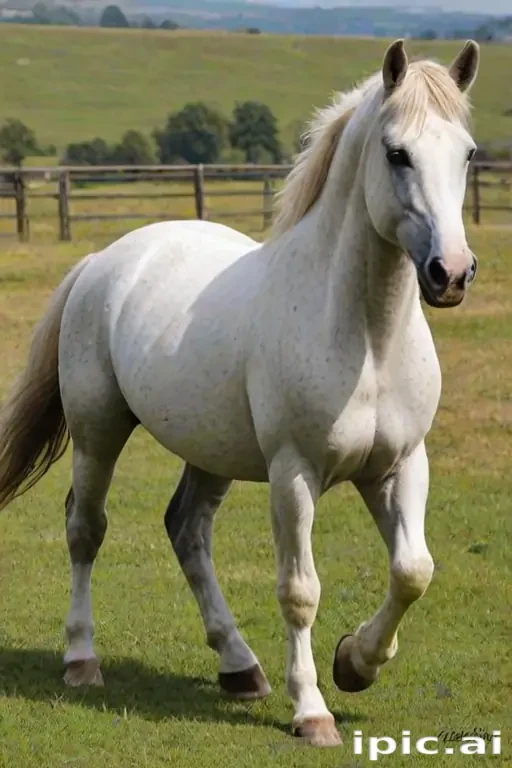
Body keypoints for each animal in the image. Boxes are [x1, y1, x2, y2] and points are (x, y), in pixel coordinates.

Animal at [0, 39, 480, 747]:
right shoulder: (294, 474)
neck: (365, 336)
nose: (451, 273)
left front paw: (355, 663)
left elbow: (412, 571)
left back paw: (239, 667)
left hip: (210, 452)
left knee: (186, 531)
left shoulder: (397, 466)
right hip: (97, 432)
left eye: (468, 153)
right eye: (397, 153)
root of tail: (101, 262)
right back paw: (83, 660)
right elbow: (299, 590)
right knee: (85, 529)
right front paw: (312, 711)